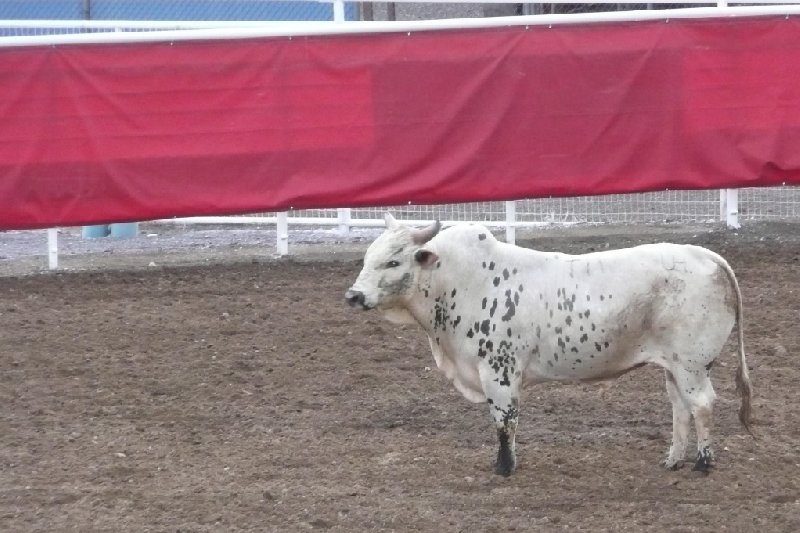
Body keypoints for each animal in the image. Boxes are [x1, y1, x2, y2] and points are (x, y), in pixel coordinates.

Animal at [346, 214, 752, 476]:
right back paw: (673, 460)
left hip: (691, 364)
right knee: (681, 409)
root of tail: (707, 256)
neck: (460, 279)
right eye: (368, 257)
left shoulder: (499, 371)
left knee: (701, 405)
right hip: (673, 366)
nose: (354, 295)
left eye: (393, 261)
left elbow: (504, 420)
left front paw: (504, 468)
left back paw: (703, 462)